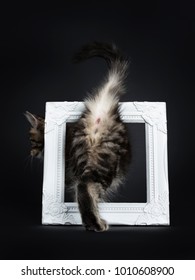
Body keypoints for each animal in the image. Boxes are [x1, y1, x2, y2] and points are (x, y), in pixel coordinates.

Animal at [25, 42, 130, 232]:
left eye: (31, 141)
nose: (31, 153)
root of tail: (102, 106)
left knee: (83, 188)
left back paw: (93, 223)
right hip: (103, 164)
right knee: (85, 188)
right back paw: (95, 223)